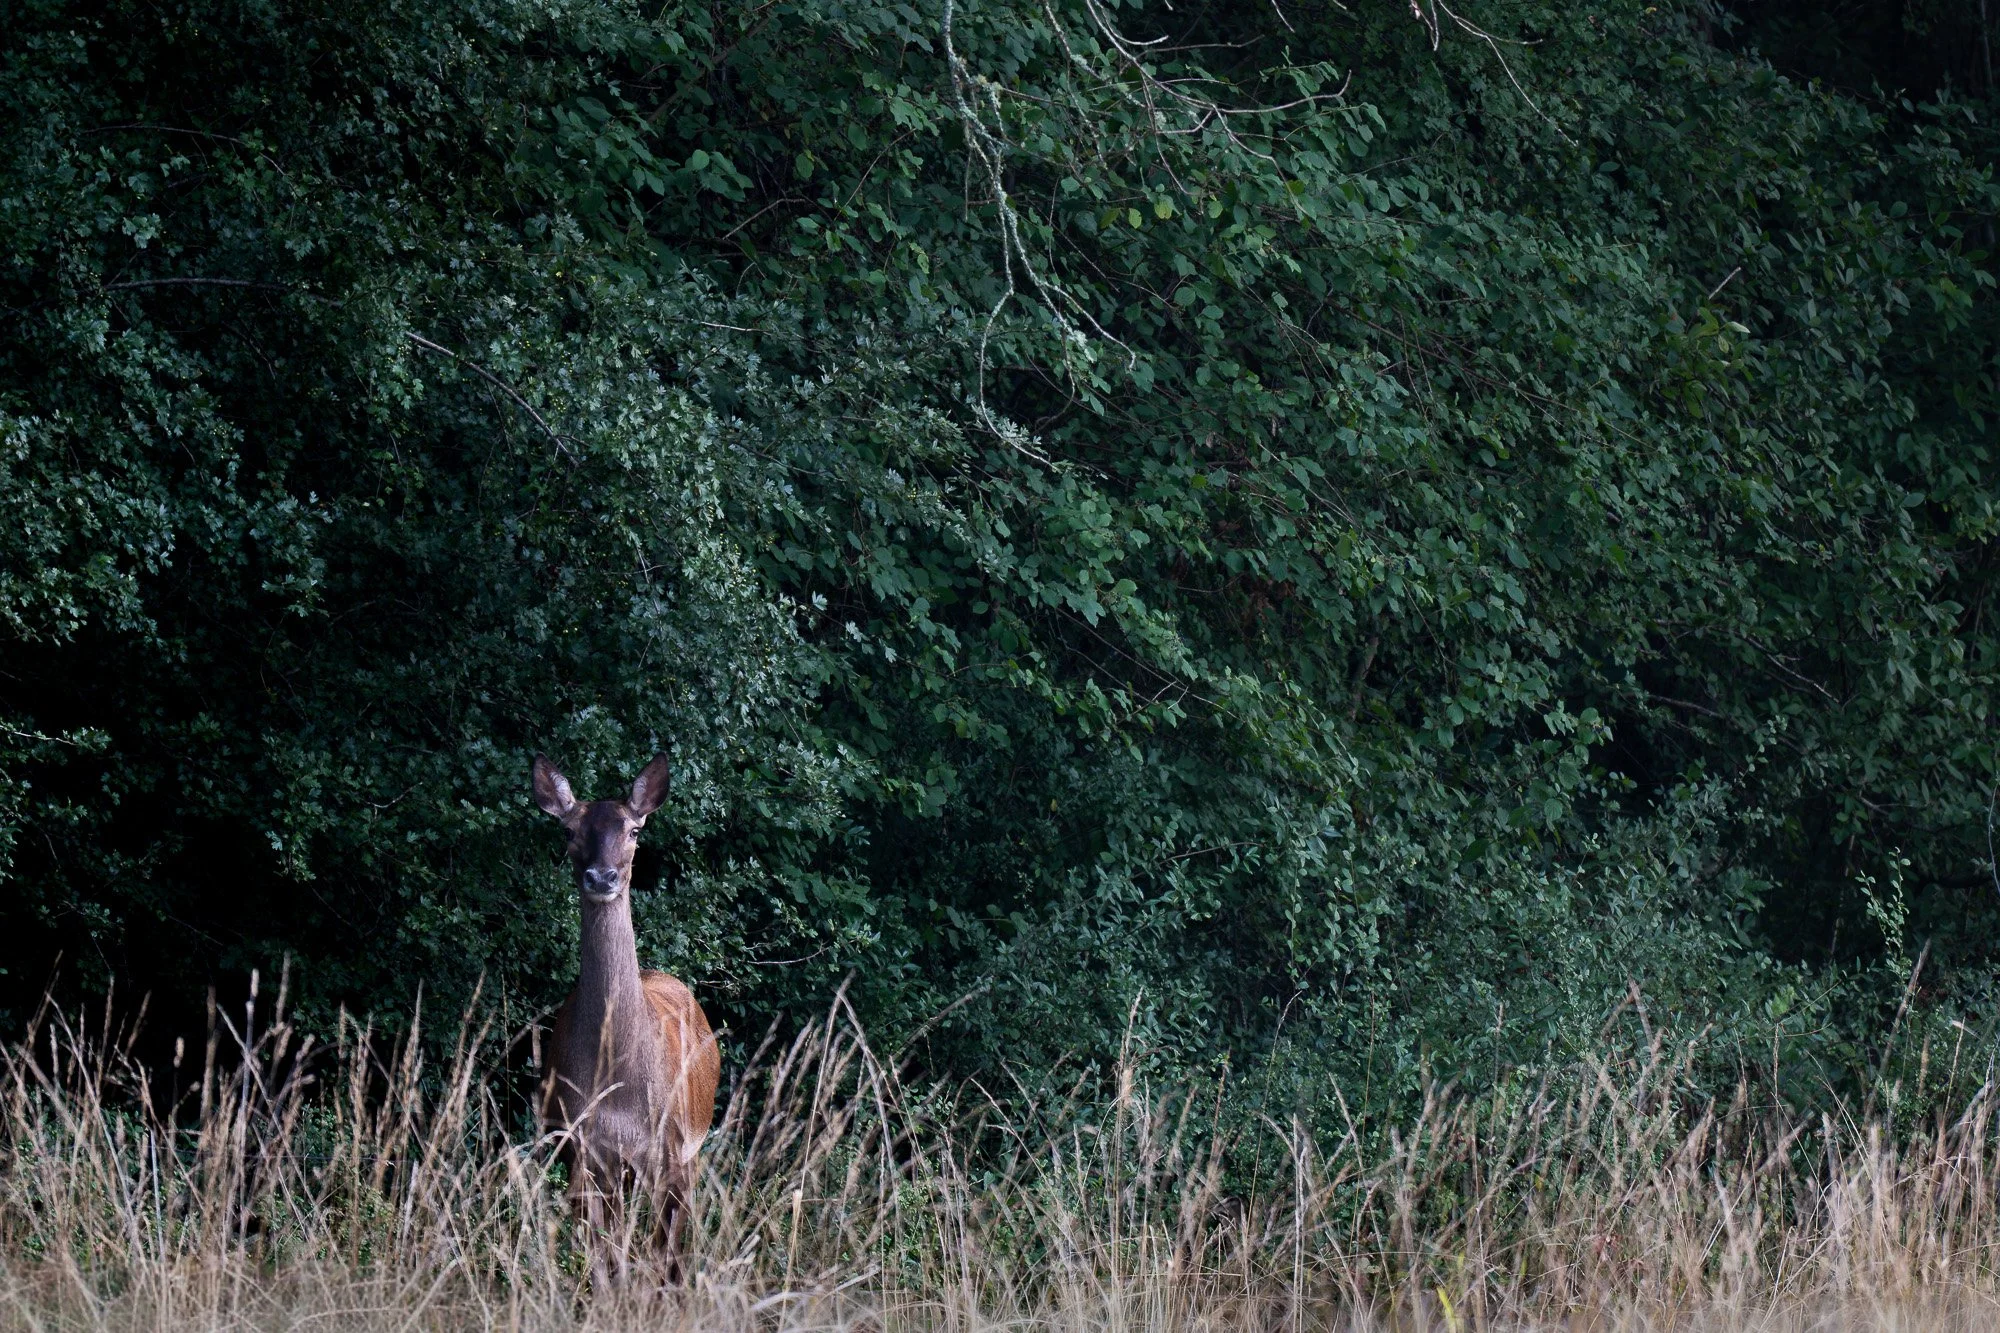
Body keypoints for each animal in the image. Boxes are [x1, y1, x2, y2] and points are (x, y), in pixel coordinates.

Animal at [531, 754, 720, 1284]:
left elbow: (661, 1260)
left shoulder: (671, 1151)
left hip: (692, 1148)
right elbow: (604, 1261)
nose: (602, 877)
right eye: (568, 829)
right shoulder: (583, 1149)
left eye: (634, 829)